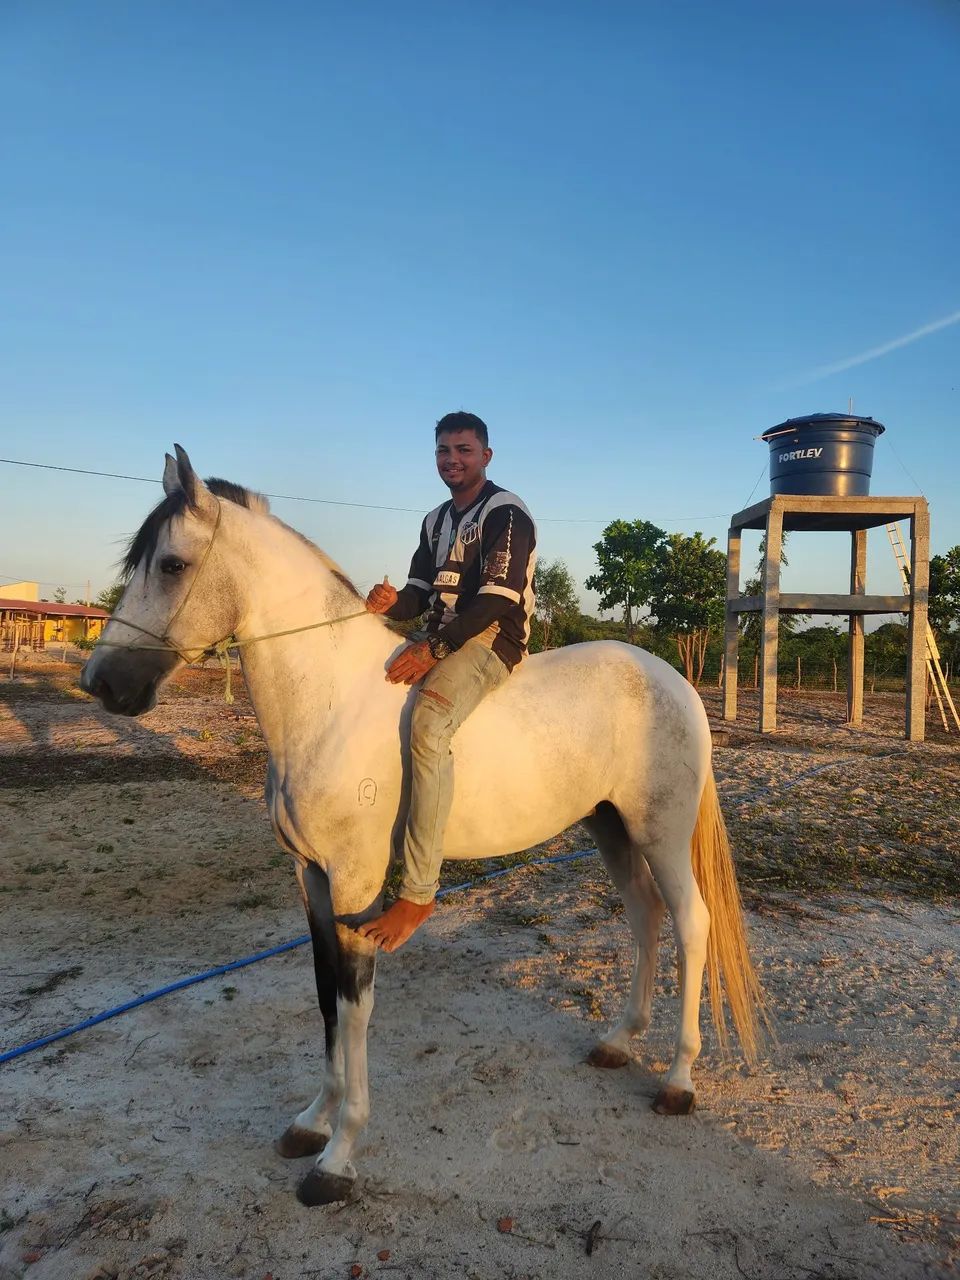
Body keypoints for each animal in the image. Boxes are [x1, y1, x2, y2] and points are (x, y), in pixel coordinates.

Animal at [80, 445, 764, 1207]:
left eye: (171, 564)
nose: (100, 682)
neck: (332, 703)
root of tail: (672, 679)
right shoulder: (310, 880)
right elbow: (325, 996)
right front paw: (311, 1122)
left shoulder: (354, 885)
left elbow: (354, 1008)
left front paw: (339, 1154)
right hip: (610, 828)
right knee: (645, 916)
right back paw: (619, 1042)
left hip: (661, 833)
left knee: (691, 924)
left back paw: (678, 1078)